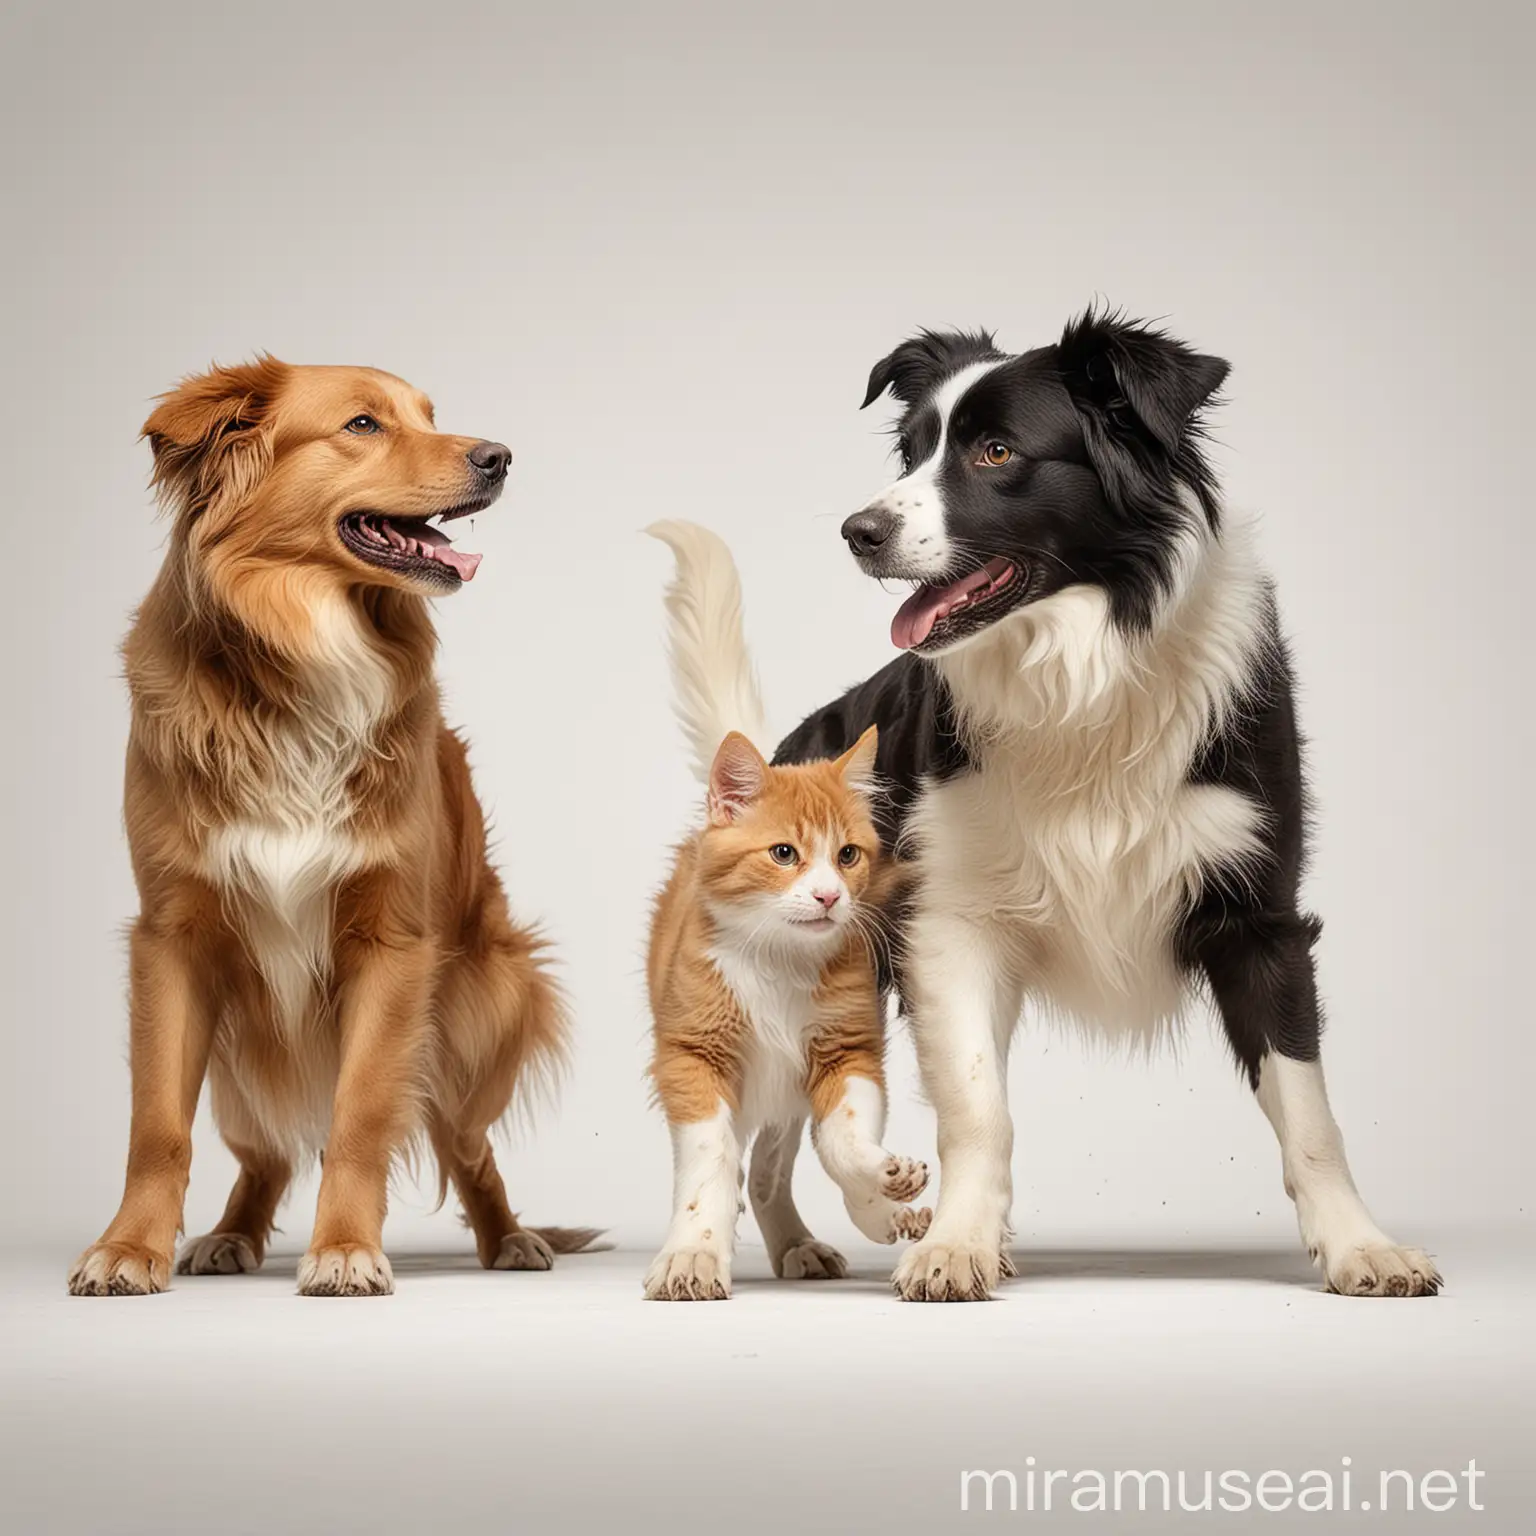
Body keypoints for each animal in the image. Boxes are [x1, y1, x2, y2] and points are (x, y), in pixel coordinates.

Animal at [70, 356, 592, 1296]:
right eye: (362, 424)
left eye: (430, 414)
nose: (499, 455)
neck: (310, 645)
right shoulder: (171, 938)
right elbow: (157, 1128)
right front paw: (129, 1248)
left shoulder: (392, 943)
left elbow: (360, 1118)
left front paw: (346, 1246)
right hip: (239, 1056)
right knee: (266, 1154)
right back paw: (230, 1235)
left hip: (477, 1015)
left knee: (468, 1145)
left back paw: (510, 1238)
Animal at [642, 522, 927, 1302]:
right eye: (783, 854)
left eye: (850, 856)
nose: (829, 896)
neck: (776, 962)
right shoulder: (691, 1058)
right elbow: (708, 1163)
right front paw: (692, 1255)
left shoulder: (848, 1048)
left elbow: (843, 1139)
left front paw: (883, 1191)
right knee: (748, 1167)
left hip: (783, 1092)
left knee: (772, 1169)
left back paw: (808, 1239)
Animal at [780, 311, 1437, 1308]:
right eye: (911, 450)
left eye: (995, 451)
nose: (859, 531)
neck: (1082, 671)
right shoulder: (952, 922)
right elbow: (977, 1107)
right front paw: (957, 1244)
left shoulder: (1261, 916)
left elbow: (1311, 1113)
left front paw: (1362, 1246)